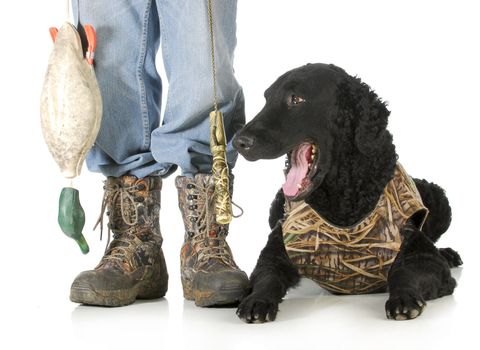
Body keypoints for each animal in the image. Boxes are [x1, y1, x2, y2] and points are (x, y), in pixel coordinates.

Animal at [232, 63, 462, 322]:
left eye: (296, 99)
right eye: (266, 98)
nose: (239, 142)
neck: (342, 202)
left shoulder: (425, 259)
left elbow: (404, 273)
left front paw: (403, 298)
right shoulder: (275, 254)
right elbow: (267, 278)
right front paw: (257, 301)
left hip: (439, 198)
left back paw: (448, 254)